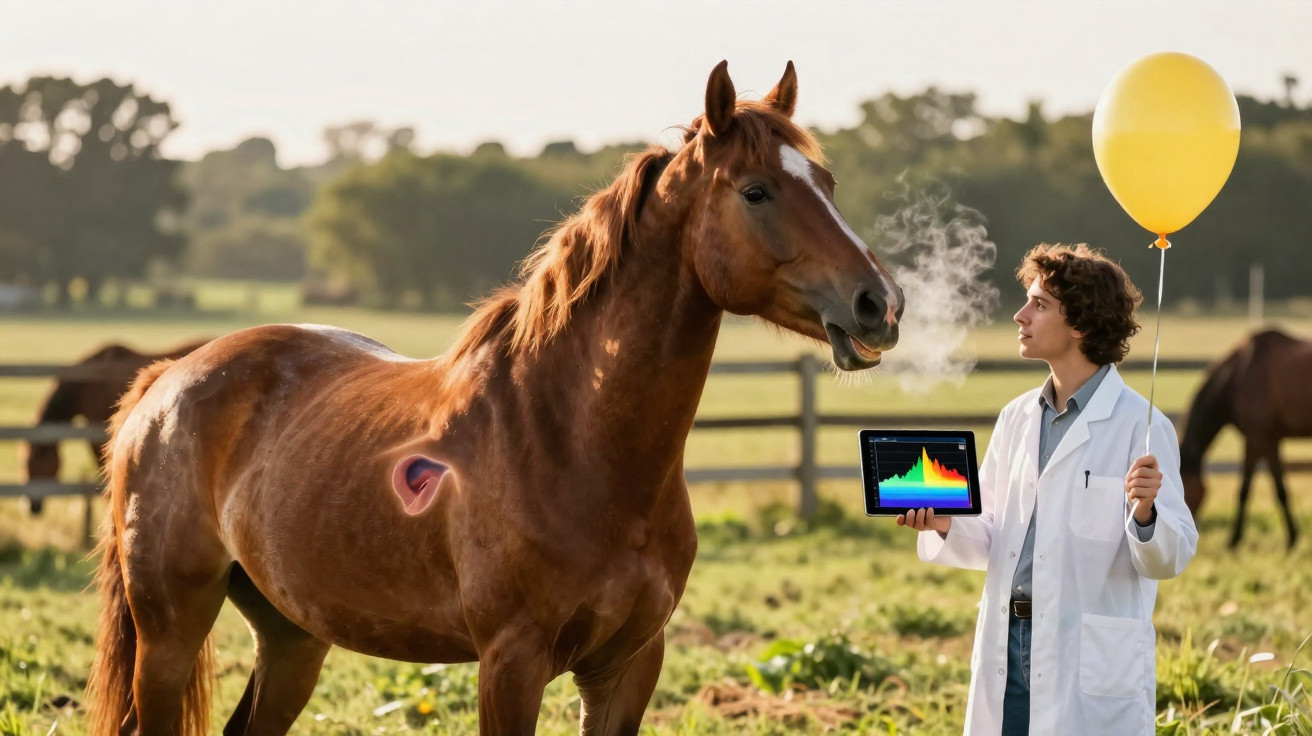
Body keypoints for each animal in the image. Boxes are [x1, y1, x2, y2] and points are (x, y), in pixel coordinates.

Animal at [87, 61, 905, 736]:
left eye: (828, 185)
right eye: (757, 191)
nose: (879, 304)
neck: (572, 443)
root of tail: (166, 381)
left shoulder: (628, 666)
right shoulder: (511, 664)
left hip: (292, 636)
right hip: (170, 633)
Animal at [1179, 328, 1312, 550]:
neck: (1238, 377)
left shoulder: (1259, 440)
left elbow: (1259, 490)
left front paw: (1234, 540)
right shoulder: (1263, 441)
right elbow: (1261, 490)